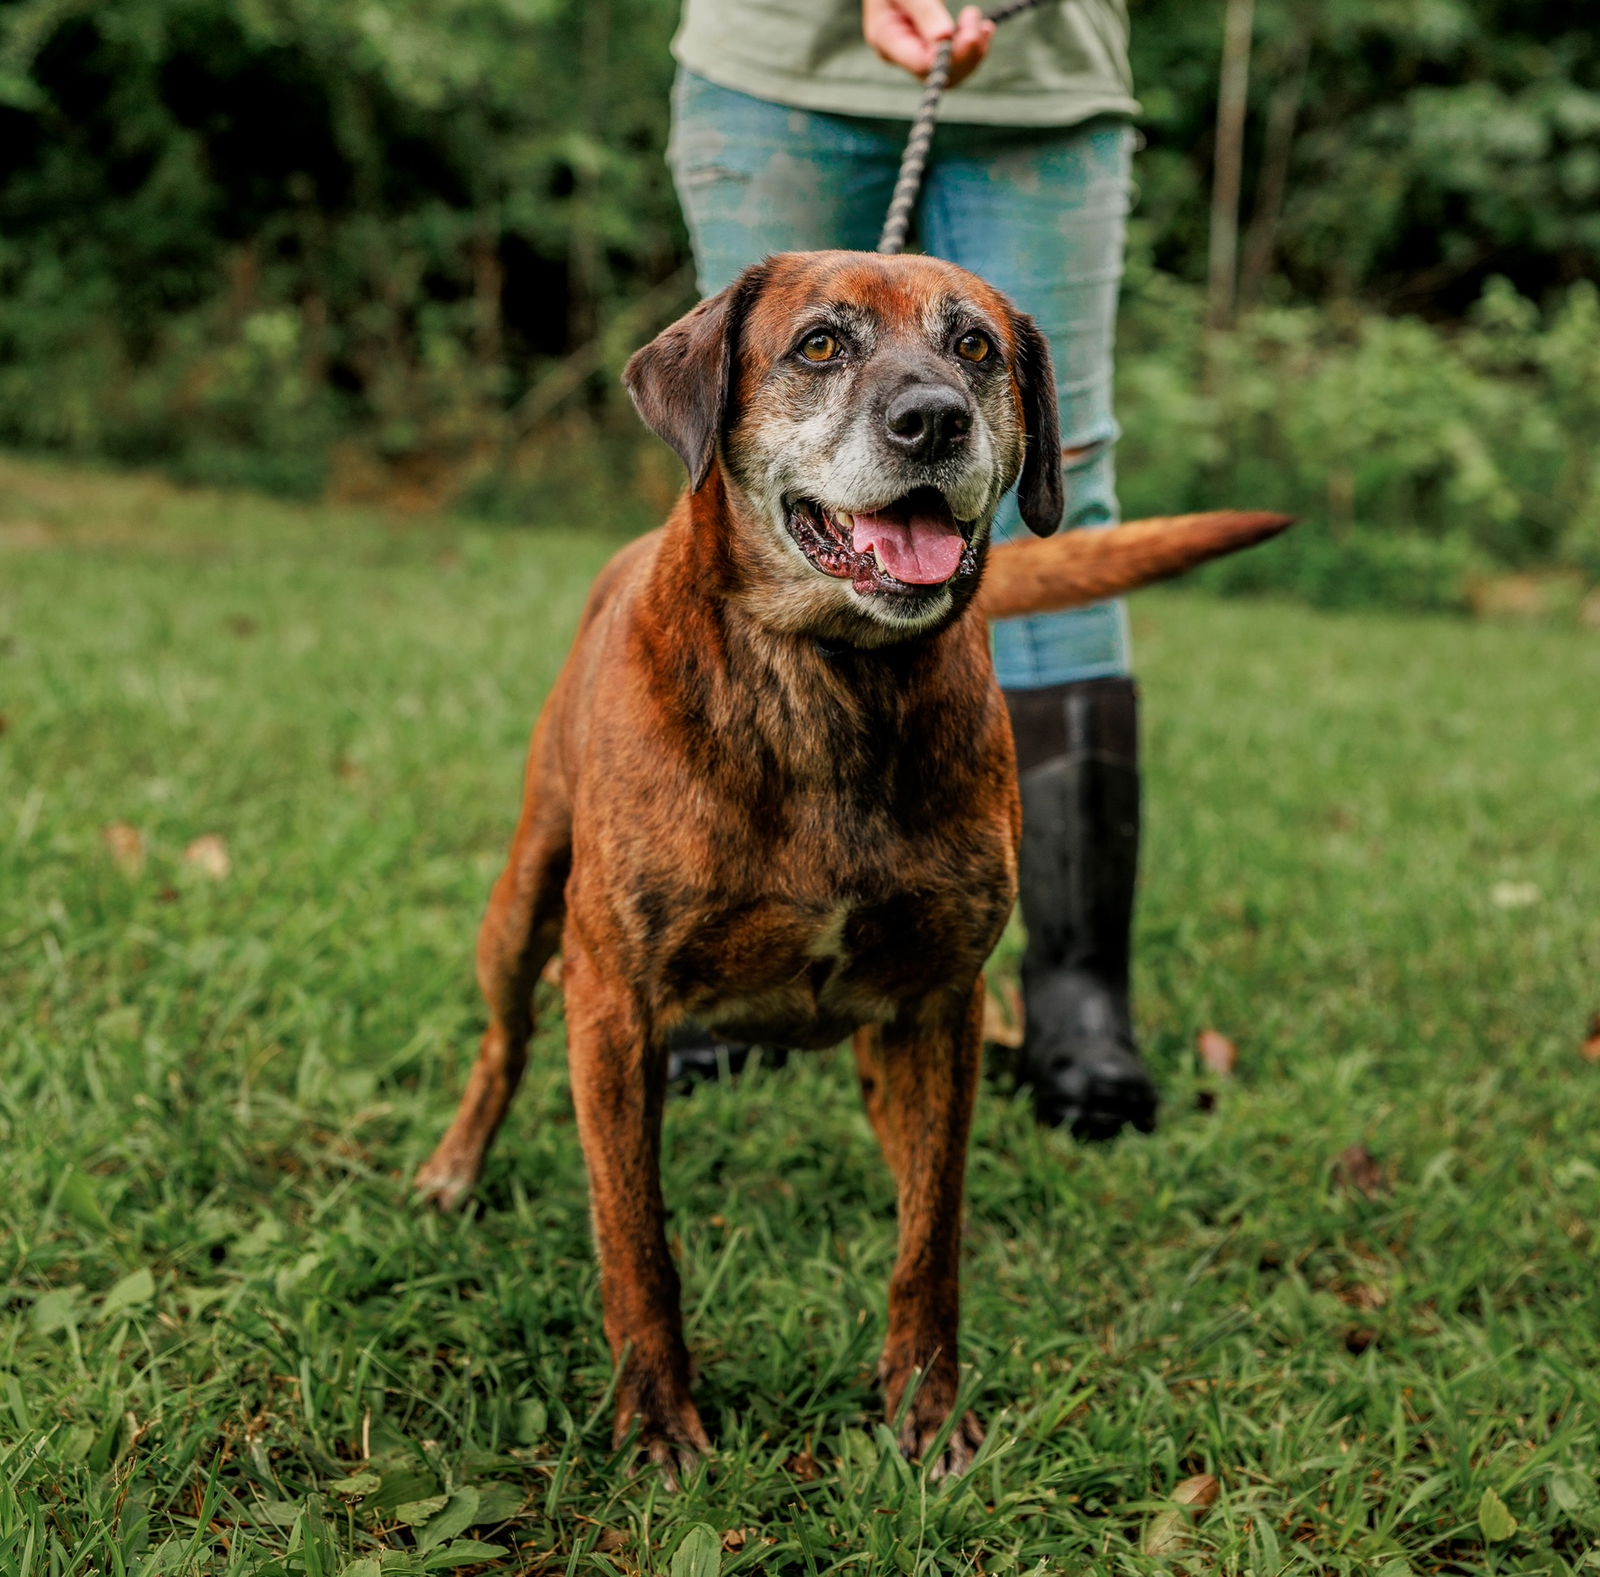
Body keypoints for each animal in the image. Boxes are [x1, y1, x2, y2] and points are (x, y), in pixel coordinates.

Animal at [412, 246, 1286, 1477]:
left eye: (975, 347)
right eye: (820, 345)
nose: (936, 419)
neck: (832, 679)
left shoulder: (940, 1004)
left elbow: (932, 1230)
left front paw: (925, 1406)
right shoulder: (613, 1003)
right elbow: (636, 1235)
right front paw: (658, 1416)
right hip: (525, 894)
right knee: (503, 1037)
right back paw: (454, 1166)